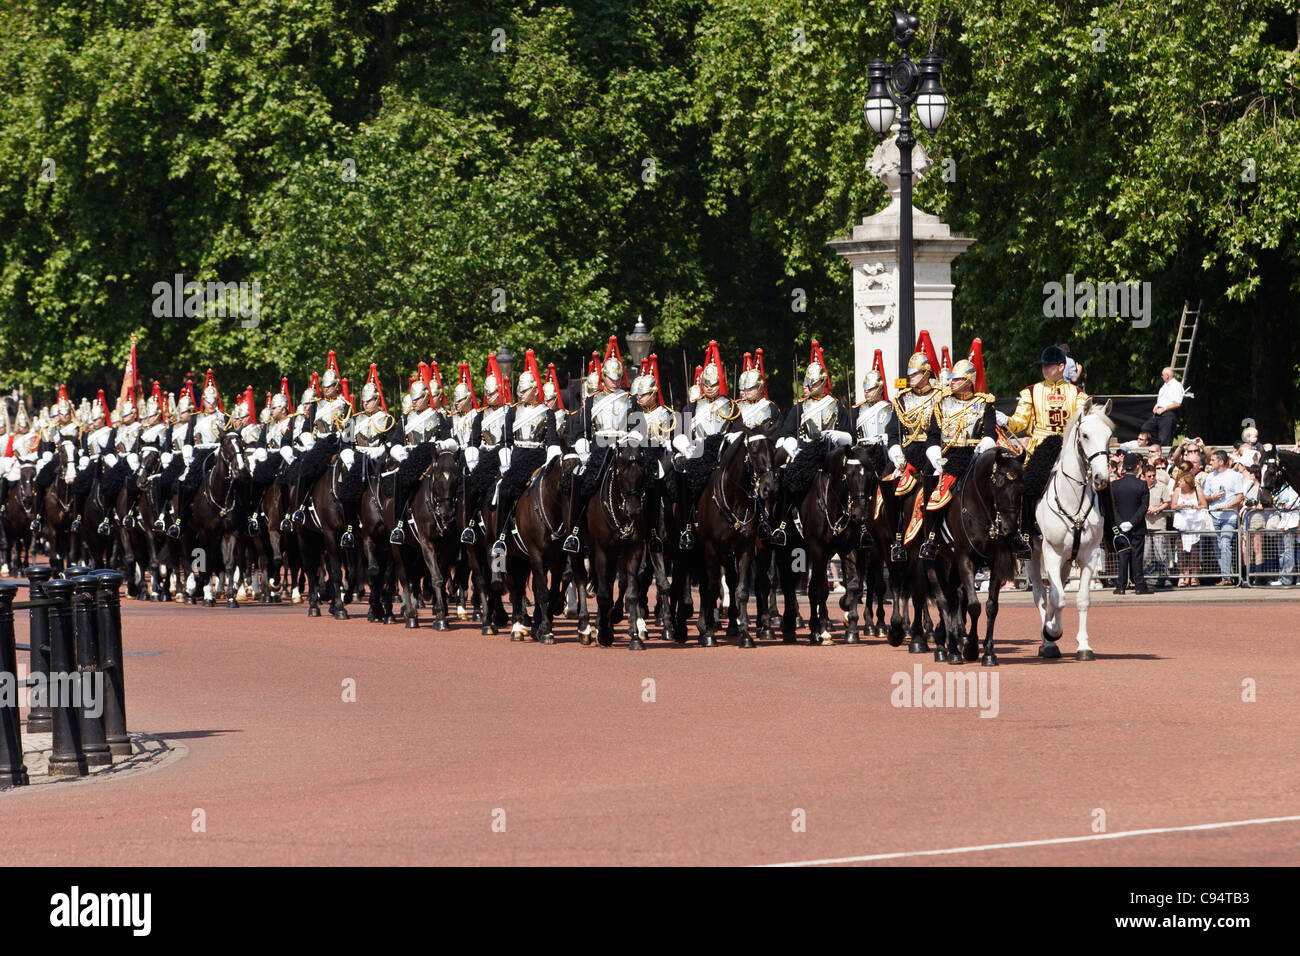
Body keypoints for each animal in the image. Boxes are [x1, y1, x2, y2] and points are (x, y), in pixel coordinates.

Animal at [1024, 400, 1118, 660]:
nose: (1101, 478)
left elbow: (1081, 600)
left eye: (1109, 436)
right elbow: (1057, 597)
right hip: (1033, 555)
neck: (1073, 498)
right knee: (1040, 594)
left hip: (1067, 559)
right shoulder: (1051, 553)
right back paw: (1048, 640)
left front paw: (1084, 645)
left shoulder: (1089, 555)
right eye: (1085, 435)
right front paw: (1052, 632)